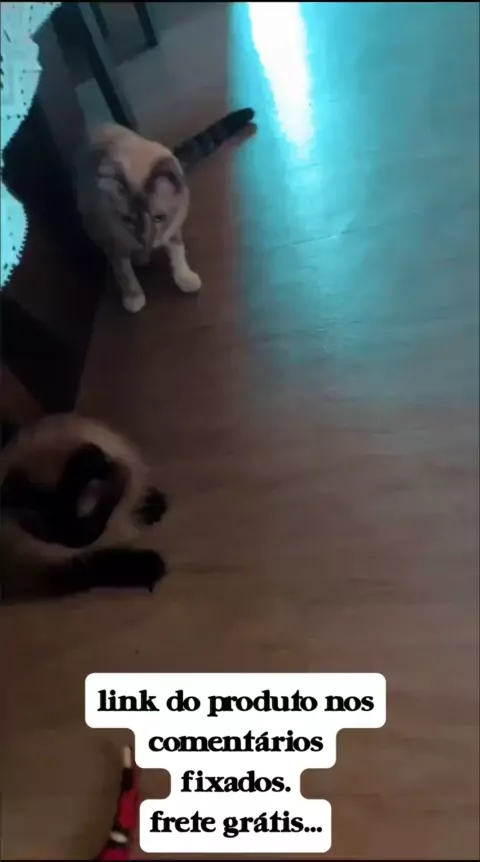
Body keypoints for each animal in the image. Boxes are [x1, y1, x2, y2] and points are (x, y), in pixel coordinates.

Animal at [74, 108, 255, 313]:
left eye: (159, 217)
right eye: (127, 219)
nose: (144, 239)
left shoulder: (174, 223)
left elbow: (177, 250)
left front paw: (185, 278)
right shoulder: (111, 239)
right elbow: (123, 271)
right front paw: (134, 298)